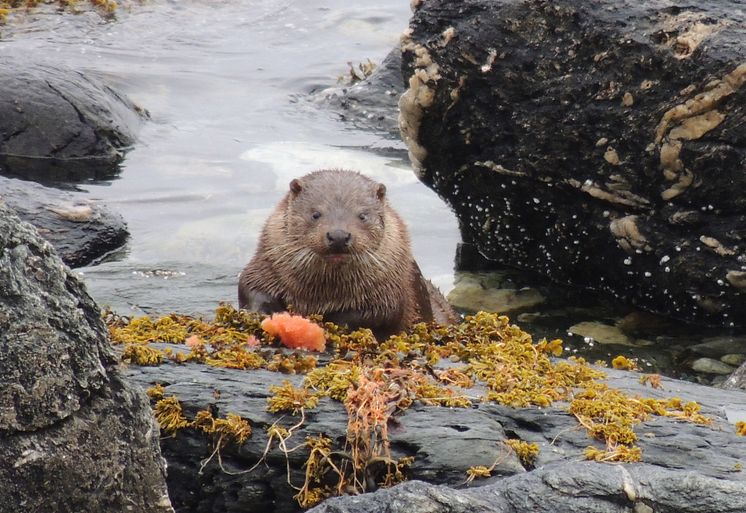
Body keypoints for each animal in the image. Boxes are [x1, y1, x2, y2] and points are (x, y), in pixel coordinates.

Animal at [238, 169, 454, 340]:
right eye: (315, 214)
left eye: (363, 215)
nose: (339, 236)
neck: (321, 295)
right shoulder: (265, 265)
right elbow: (249, 288)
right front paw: (263, 313)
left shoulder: (389, 292)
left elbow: (380, 314)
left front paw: (327, 321)